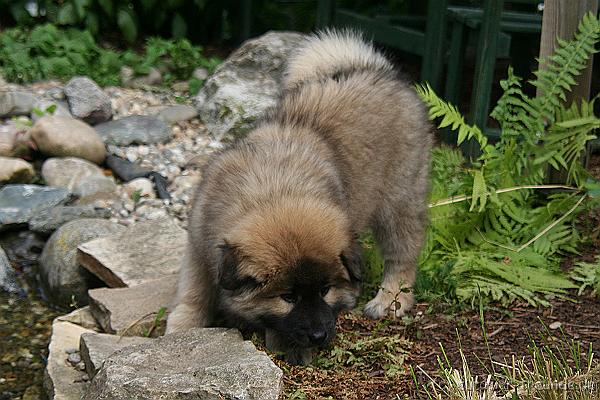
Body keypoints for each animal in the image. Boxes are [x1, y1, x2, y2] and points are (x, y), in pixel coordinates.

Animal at [166, 29, 434, 364]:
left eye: (325, 290)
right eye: (288, 297)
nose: (319, 336)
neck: (273, 190)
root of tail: (376, 70)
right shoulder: (199, 243)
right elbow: (194, 291)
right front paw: (181, 330)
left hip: (398, 199)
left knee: (403, 252)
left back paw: (391, 299)